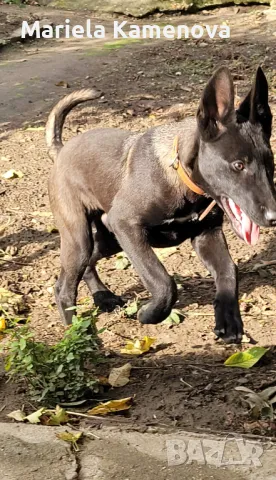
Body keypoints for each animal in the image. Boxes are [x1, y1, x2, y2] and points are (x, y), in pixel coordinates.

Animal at [46, 68, 276, 344]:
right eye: (238, 165)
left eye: (270, 163)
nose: (274, 217)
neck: (180, 177)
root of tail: (61, 150)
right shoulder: (125, 224)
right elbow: (163, 281)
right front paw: (150, 314)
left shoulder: (207, 235)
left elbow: (229, 271)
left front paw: (228, 320)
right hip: (80, 236)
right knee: (64, 287)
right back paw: (79, 334)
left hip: (108, 240)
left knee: (89, 263)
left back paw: (103, 296)